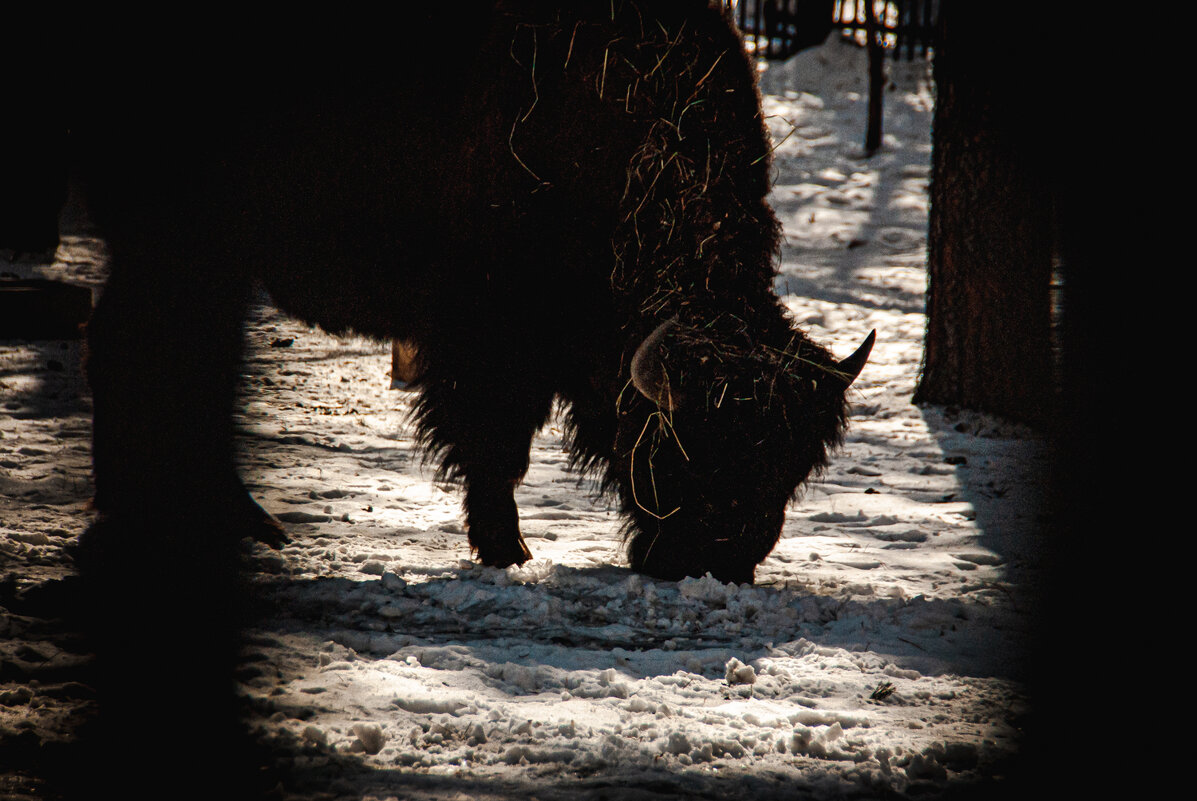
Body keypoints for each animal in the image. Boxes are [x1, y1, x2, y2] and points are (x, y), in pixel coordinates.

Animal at [79, 0, 876, 586]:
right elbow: (494, 446)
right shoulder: (491, 343)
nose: (719, 563)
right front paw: (507, 551)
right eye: (694, 445)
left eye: (792, 463)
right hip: (185, 248)